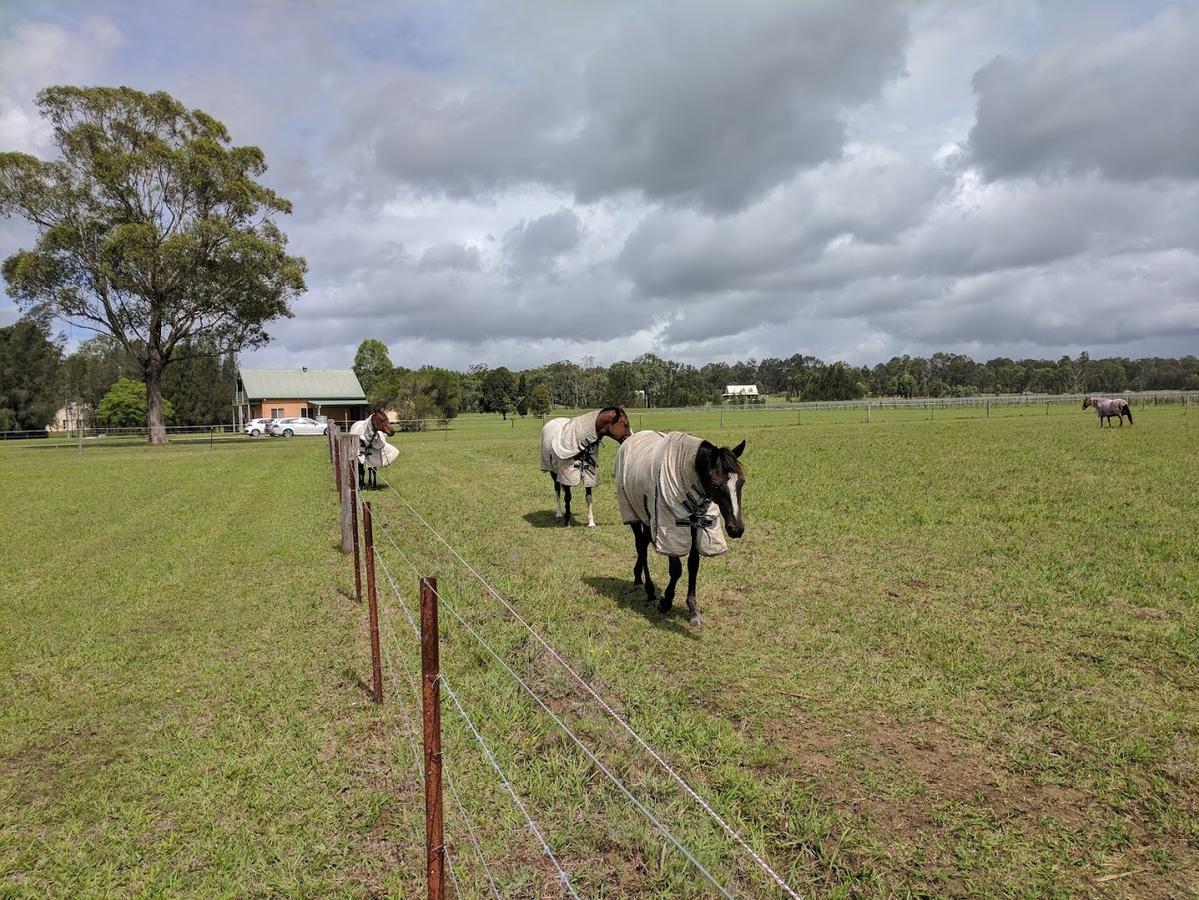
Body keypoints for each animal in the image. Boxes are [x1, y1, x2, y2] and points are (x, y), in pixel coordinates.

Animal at [613, 431, 743, 627]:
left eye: (741, 482)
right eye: (716, 484)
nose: (737, 529)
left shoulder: (696, 527)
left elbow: (693, 565)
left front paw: (693, 609)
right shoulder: (671, 527)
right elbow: (676, 569)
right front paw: (666, 602)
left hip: (647, 517)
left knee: (643, 544)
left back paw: (638, 578)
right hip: (632, 512)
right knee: (641, 547)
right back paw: (649, 591)